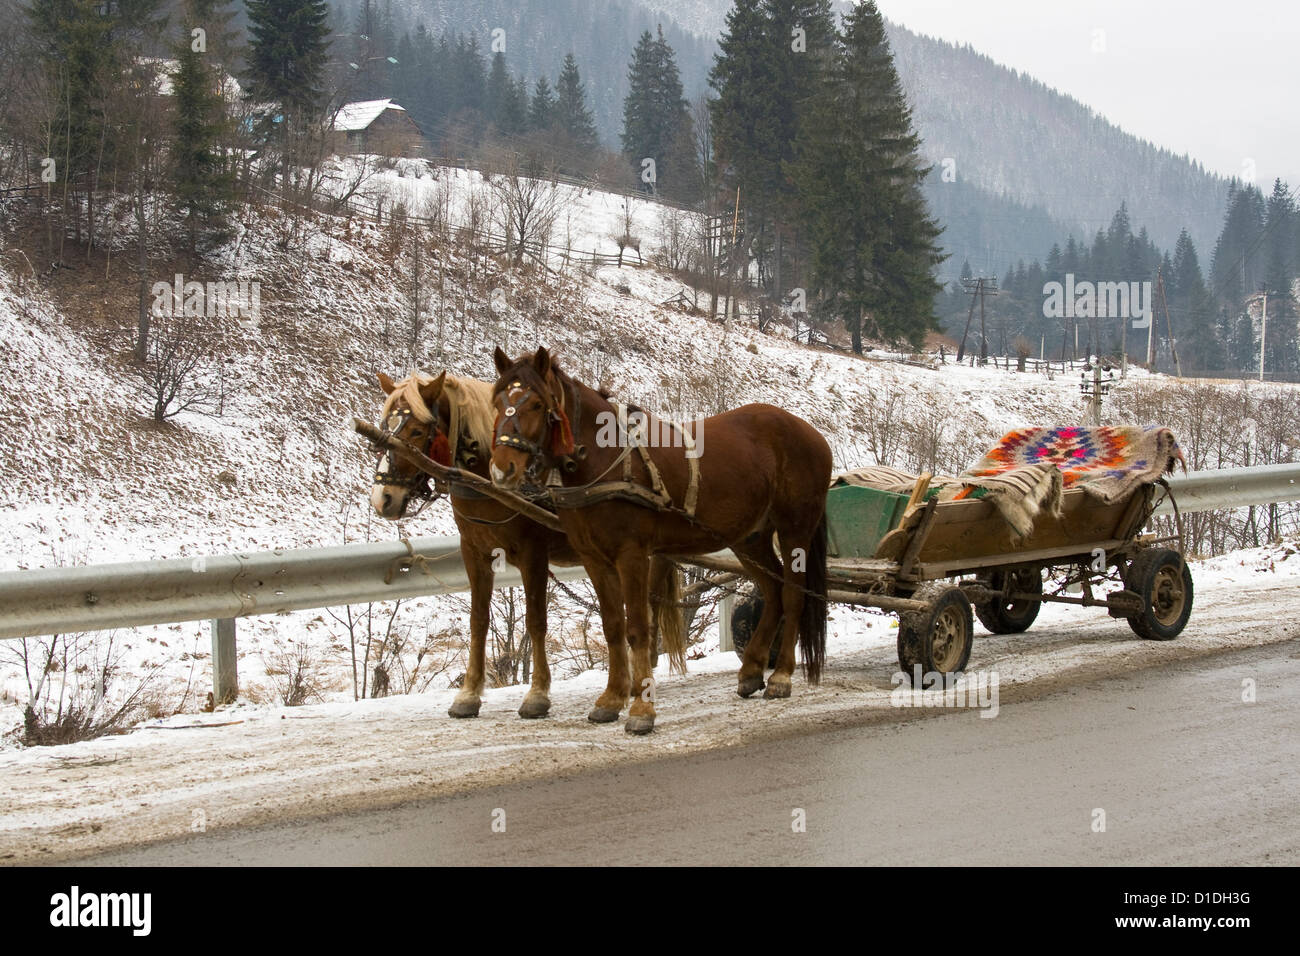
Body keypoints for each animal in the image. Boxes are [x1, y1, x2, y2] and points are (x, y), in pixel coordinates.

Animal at [370, 369, 685, 719]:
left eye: (416, 430)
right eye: (384, 425)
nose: (384, 498)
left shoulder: (533, 553)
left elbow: (536, 620)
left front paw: (537, 694)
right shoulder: (474, 553)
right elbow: (478, 620)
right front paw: (469, 693)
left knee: (649, 606)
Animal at [488, 347, 831, 734]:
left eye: (535, 404)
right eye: (497, 402)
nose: (502, 468)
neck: (606, 457)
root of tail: (809, 432)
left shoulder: (632, 555)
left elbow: (638, 627)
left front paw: (641, 709)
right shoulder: (595, 559)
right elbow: (612, 626)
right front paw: (611, 699)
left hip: (794, 530)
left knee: (792, 596)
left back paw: (781, 676)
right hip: (750, 539)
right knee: (772, 592)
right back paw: (752, 670)